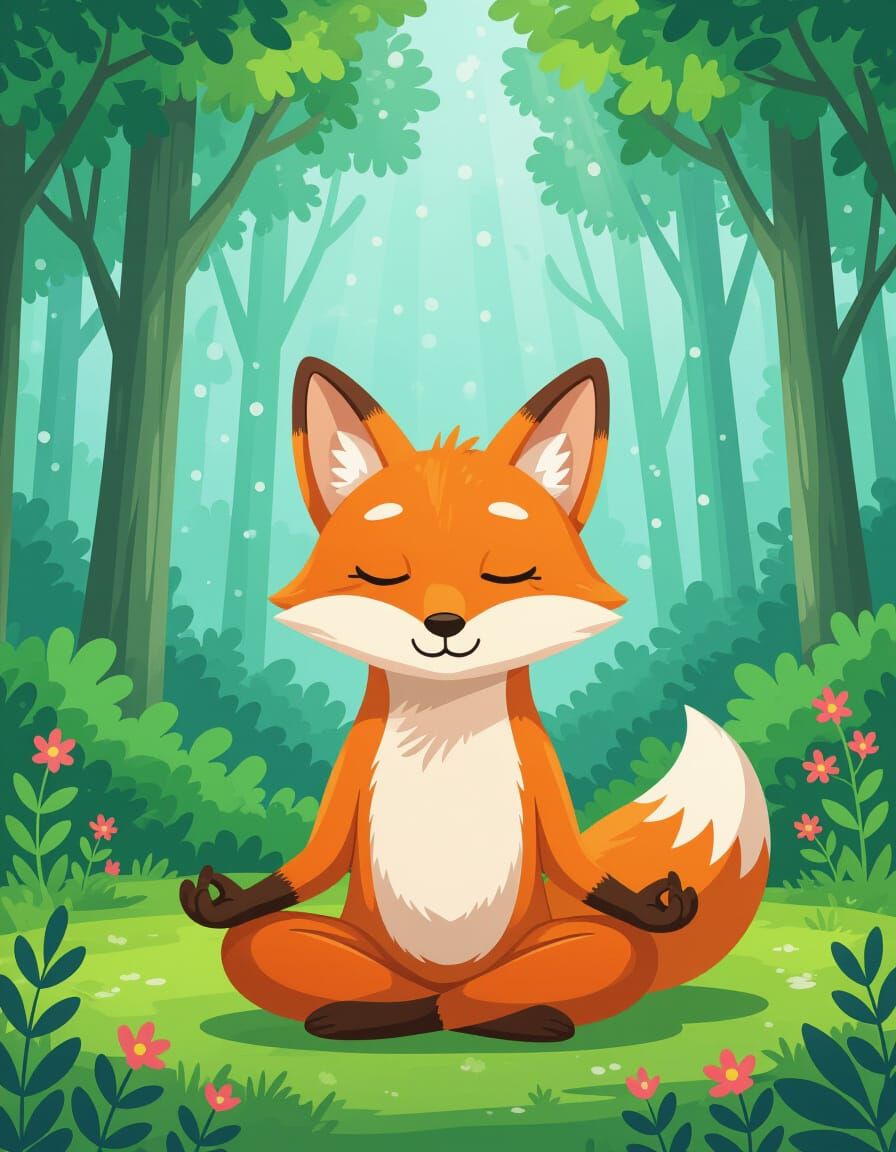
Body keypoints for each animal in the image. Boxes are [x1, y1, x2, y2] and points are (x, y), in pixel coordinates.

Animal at [179, 356, 770, 1043]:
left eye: (508, 572)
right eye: (381, 572)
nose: (443, 624)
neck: (445, 725)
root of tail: (443, 982)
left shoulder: (541, 771)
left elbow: (580, 870)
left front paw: (652, 907)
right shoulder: (351, 771)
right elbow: (310, 867)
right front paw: (230, 902)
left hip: (547, 949)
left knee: (589, 958)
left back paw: (520, 1016)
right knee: (282, 950)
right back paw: (373, 1015)